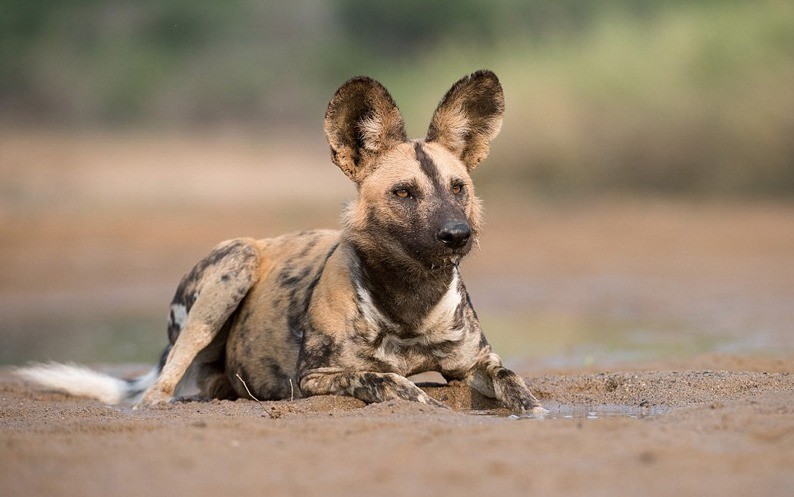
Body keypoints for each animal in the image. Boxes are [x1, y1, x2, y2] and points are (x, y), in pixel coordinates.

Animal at [20, 69, 552, 410]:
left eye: (458, 188)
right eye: (403, 192)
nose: (457, 235)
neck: (410, 302)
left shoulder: (478, 362)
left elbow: (517, 385)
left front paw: (537, 411)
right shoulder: (315, 376)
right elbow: (386, 380)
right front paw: (417, 396)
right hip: (231, 270)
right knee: (158, 390)